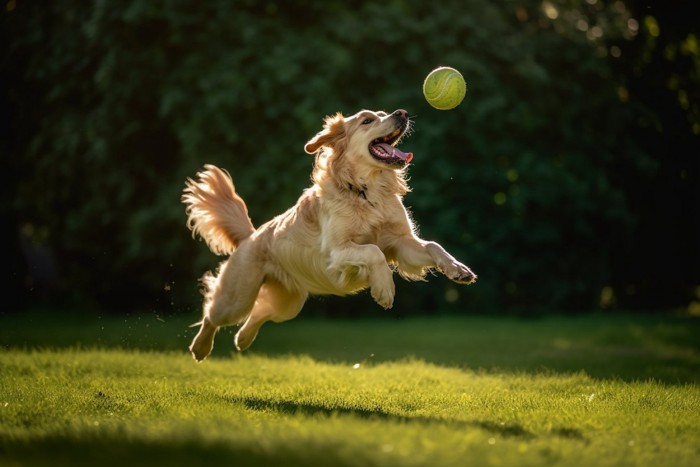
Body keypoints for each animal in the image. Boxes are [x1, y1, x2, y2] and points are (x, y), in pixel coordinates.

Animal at [182, 110, 476, 362]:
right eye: (368, 120)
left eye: (383, 113)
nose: (402, 113)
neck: (367, 192)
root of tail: (251, 236)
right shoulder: (337, 251)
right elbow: (373, 252)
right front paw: (384, 289)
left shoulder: (401, 244)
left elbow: (433, 246)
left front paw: (458, 269)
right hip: (237, 298)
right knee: (212, 314)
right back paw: (200, 347)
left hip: (288, 303)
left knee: (258, 313)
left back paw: (242, 340)